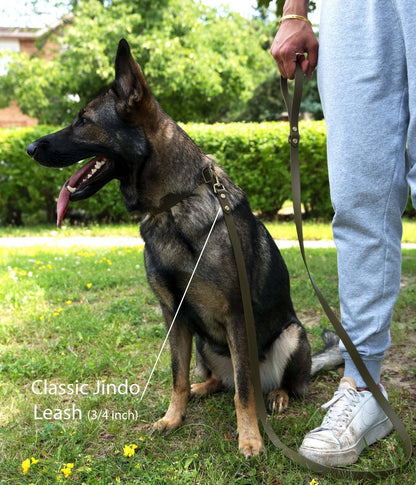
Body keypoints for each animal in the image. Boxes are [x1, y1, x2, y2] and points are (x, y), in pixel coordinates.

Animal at [26, 38, 310, 458]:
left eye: (83, 120)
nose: (29, 148)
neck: (172, 205)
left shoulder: (236, 317)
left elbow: (244, 390)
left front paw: (250, 438)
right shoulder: (173, 315)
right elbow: (177, 375)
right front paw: (173, 417)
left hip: (290, 335)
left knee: (269, 382)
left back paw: (277, 396)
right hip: (207, 344)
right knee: (220, 380)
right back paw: (202, 389)